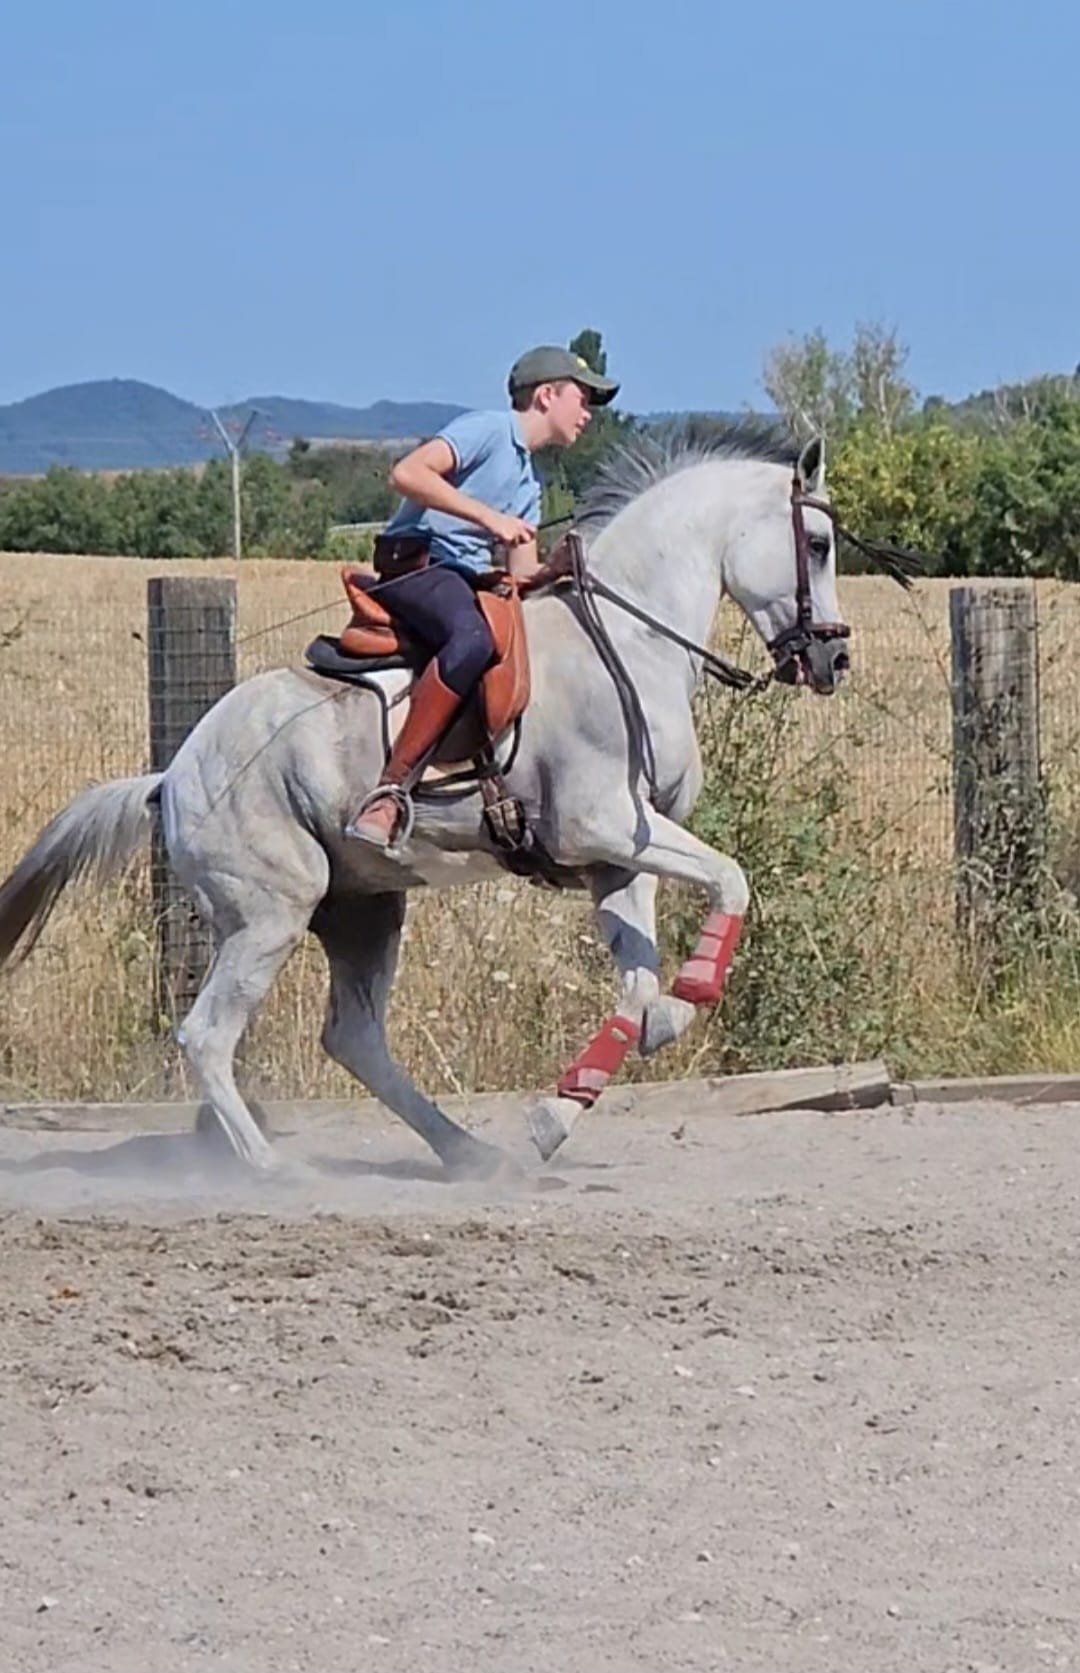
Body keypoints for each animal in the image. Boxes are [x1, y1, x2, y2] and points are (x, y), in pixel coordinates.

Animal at [0, 418, 902, 1177]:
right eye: (818, 542)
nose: (833, 660)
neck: (631, 641)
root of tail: (174, 774)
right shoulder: (601, 825)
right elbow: (733, 880)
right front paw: (686, 1002)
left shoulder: (619, 854)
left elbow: (640, 979)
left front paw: (579, 1093)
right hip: (271, 910)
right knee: (208, 1033)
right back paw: (272, 1170)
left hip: (362, 908)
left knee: (354, 1037)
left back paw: (468, 1151)